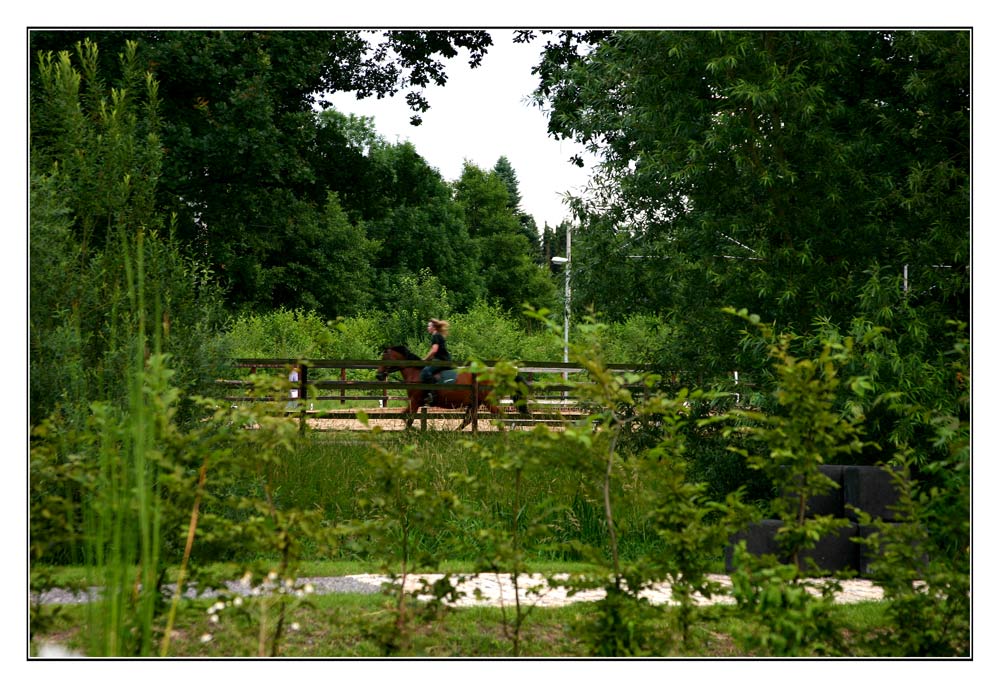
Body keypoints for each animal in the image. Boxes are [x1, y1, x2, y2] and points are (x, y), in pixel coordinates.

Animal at [376, 344, 504, 430]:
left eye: (384, 358)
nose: (378, 375)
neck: (415, 373)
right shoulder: (414, 402)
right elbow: (403, 415)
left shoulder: (415, 401)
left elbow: (408, 418)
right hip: (475, 403)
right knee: (468, 420)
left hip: (487, 401)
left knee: (498, 415)